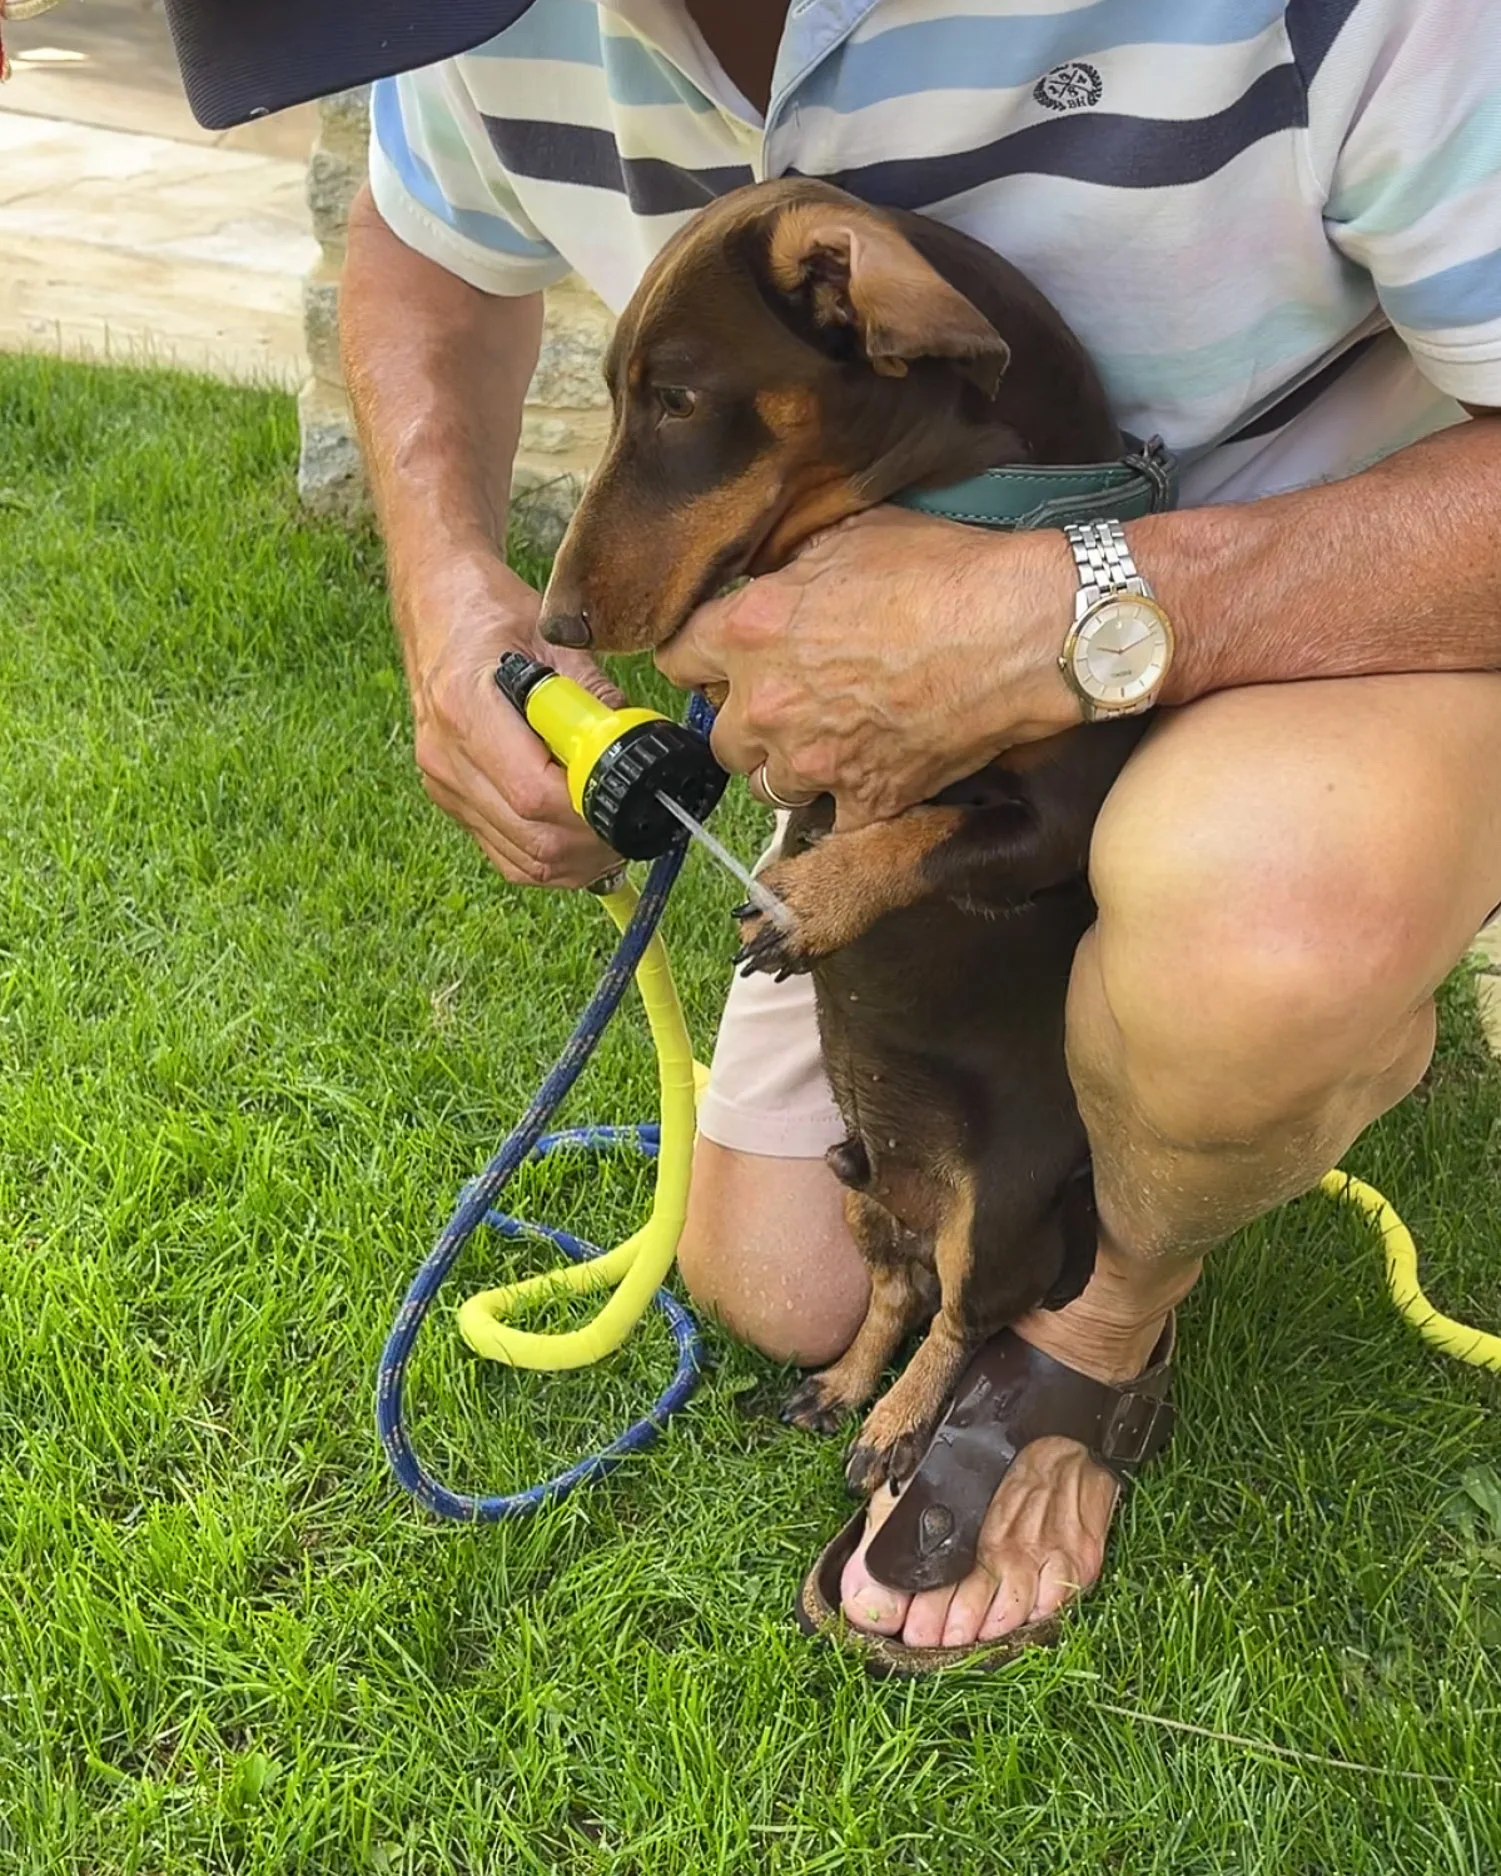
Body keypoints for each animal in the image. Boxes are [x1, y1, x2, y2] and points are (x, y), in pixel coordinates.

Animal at [540, 176, 1148, 1493]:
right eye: (615, 392)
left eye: (677, 399)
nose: (553, 624)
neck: (976, 495)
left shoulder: (1054, 824)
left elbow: (926, 822)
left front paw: (808, 902)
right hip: (857, 1185)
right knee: (893, 1290)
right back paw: (839, 1389)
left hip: (995, 1211)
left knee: (966, 1315)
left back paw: (897, 1426)